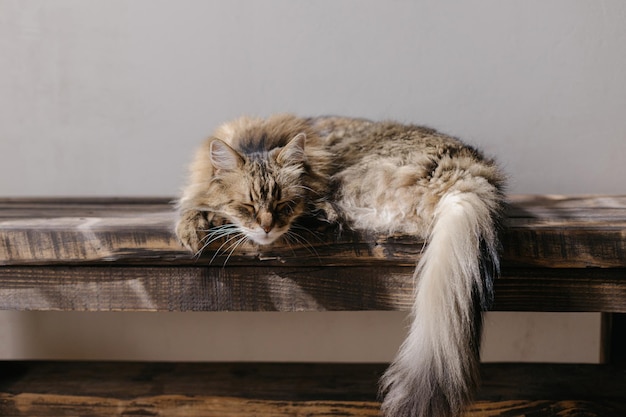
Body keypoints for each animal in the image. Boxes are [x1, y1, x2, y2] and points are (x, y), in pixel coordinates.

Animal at [174, 113, 502, 416]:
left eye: (284, 205)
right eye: (247, 206)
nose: (267, 227)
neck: (259, 141)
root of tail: (466, 169)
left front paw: (202, 221)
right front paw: (196, 225)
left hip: (349, 183)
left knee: (337, 214)